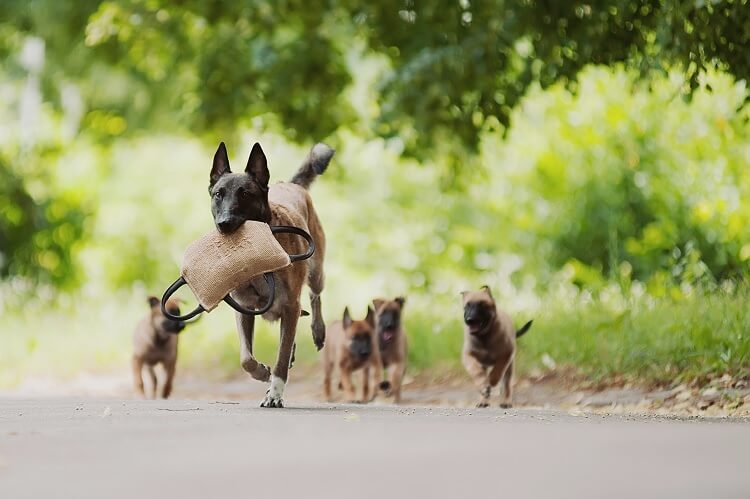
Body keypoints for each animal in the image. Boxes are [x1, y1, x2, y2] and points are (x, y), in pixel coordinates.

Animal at [207, 140, 334, 406]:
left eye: (245, 194)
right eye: (218, 194)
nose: (224, 224)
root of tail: (290, 184)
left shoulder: (290, 305)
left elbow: (281, 359)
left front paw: (275, 393)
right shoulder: (245, 309)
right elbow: (246, 358)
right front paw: (262, 372)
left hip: (316, 272)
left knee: (315, 296)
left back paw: (318, 330)